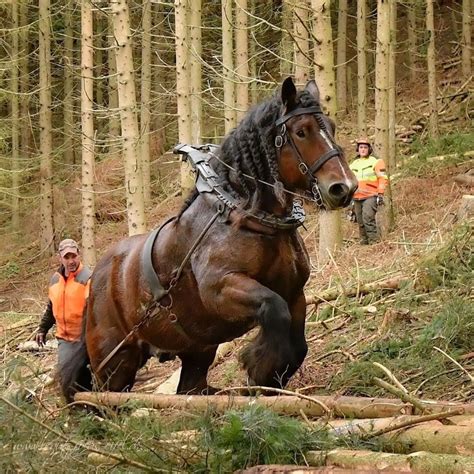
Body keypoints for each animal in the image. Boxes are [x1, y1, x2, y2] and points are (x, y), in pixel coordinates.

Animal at [60, 77, 356, 400]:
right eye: (301, 131)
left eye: (331, 126)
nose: (344, 188)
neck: (245, 215)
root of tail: (94, 280)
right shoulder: (221, 289)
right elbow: (273, 310)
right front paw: (258, 366)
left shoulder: (294, 293)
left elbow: (297, 347)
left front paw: (266, 378)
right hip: (114, 363)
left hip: (196, 351)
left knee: (189, 388)